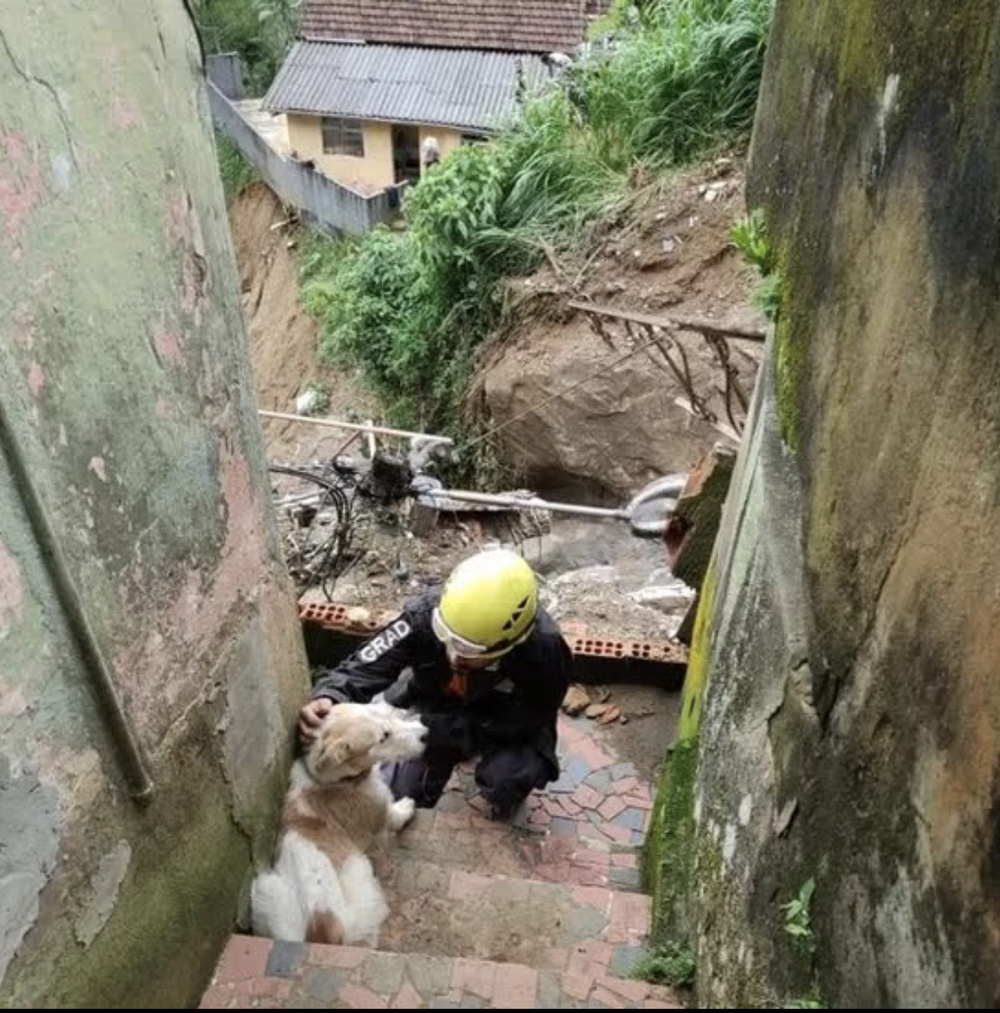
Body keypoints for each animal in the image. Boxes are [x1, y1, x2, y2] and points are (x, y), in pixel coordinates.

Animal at [250, 700, 425, 944]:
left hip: (266, 889)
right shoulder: (383, 813)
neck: (337, 782)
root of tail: (321, 931)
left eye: (382, 712)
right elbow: (395, 816)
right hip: (361, 880)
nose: (425, 733)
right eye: (384, 737)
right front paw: (406, 807)